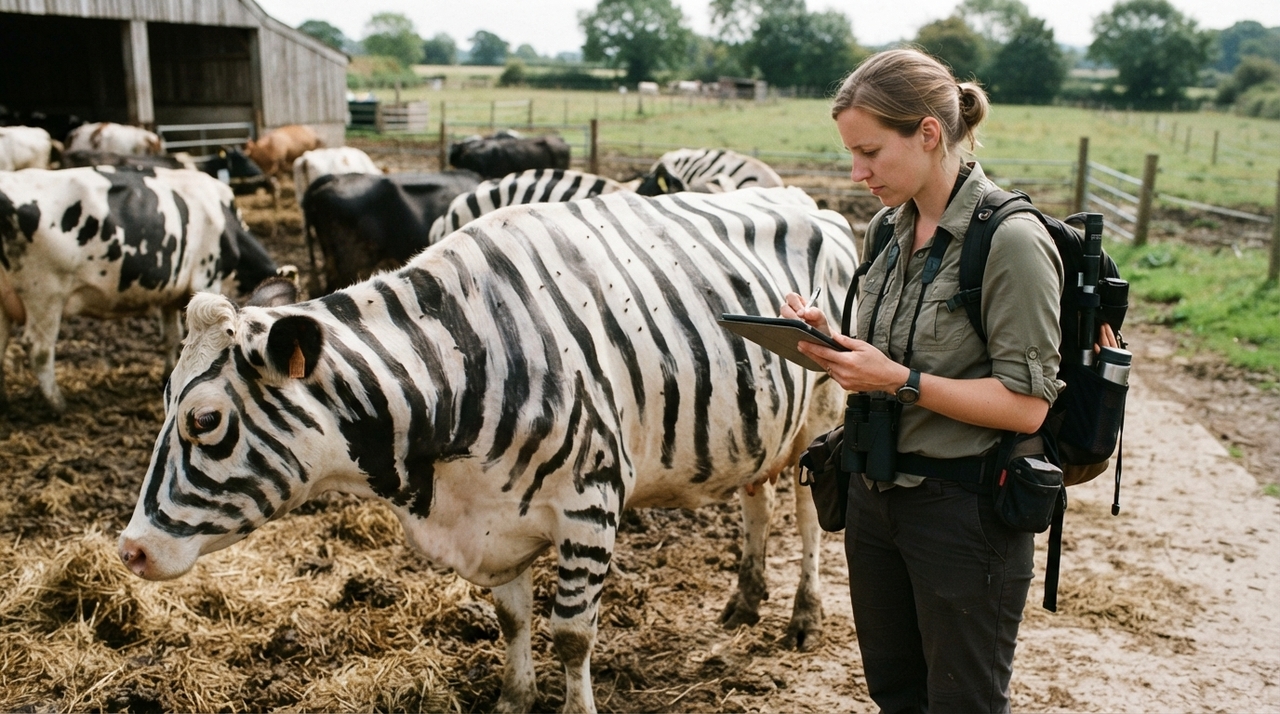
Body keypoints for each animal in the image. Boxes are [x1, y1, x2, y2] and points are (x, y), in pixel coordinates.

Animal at [0, 165, 280, 412]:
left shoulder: (172, 296)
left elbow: (172, 337)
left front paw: (168, 375)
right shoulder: (207, 280)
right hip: (46, 294)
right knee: (39, 349)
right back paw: (58, 403)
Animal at [118, 186, 857, 713]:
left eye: (205, 420)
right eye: (164, 401)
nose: (130, 551)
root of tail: (813, 203)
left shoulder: (591, 505)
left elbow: (571, 633)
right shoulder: (495, 520)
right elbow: (510, 618)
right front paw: (512, 698)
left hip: (822, 417)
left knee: (808, 520)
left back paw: (802, 615)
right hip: (759, 423)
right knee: (757, 498)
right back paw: (745, 599)